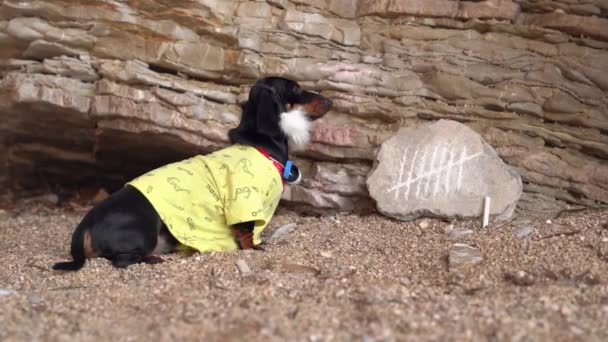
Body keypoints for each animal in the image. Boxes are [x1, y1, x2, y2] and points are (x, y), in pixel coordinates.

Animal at [53, 77, 332, 270]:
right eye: (295, 89)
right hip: (144, 229)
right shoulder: (243, 202)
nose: (330, 101)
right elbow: (246, 234)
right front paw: (254, 248)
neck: (261, 146)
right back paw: (153, 259)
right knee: (121, 260)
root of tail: (85, 224)